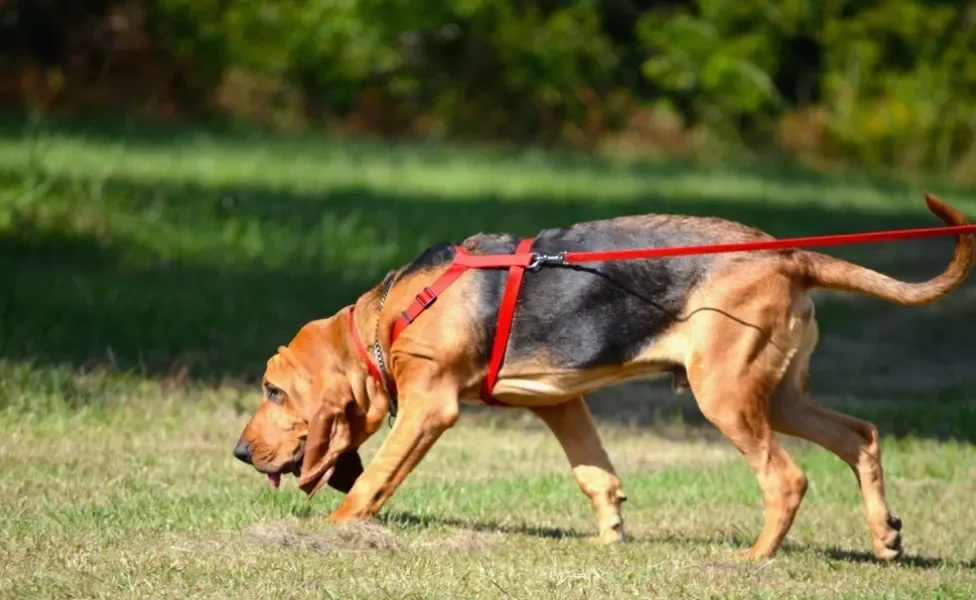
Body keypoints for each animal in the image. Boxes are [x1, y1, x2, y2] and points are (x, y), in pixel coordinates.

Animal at [233, 195, 972, 560]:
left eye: (273, 391)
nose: (239, 452)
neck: (392, 315)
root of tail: (789, 256)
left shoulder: (430, 409)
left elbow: (376, 480)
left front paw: (334, 531)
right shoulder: (562, 405)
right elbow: (595, 474)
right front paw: (610, 534)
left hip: (727, 396)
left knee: (786, 478)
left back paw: (754, 559)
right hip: (780, 394)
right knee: (860, 436)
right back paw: (884, 539)